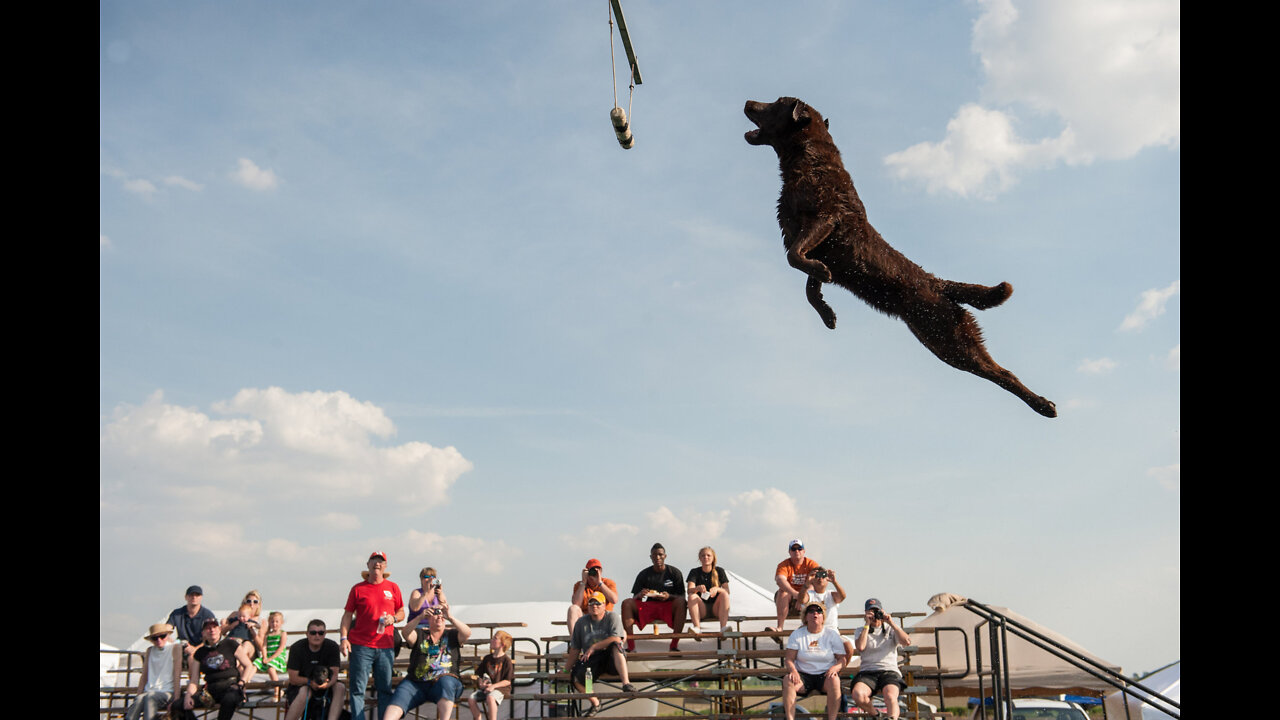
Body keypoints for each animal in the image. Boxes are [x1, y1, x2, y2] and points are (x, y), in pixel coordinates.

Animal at [747, 98, 1054, 417]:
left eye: (775, 103)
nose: (747, 102)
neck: (809, 160)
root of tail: (938, 283)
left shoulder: (825, 219)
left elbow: (795, 257)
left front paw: (822, 277)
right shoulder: (817, 242)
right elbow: (809, 285)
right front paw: (827, 312)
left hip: (952, 340)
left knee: (1002, 373)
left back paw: (1043, 406)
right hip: (939, 340)